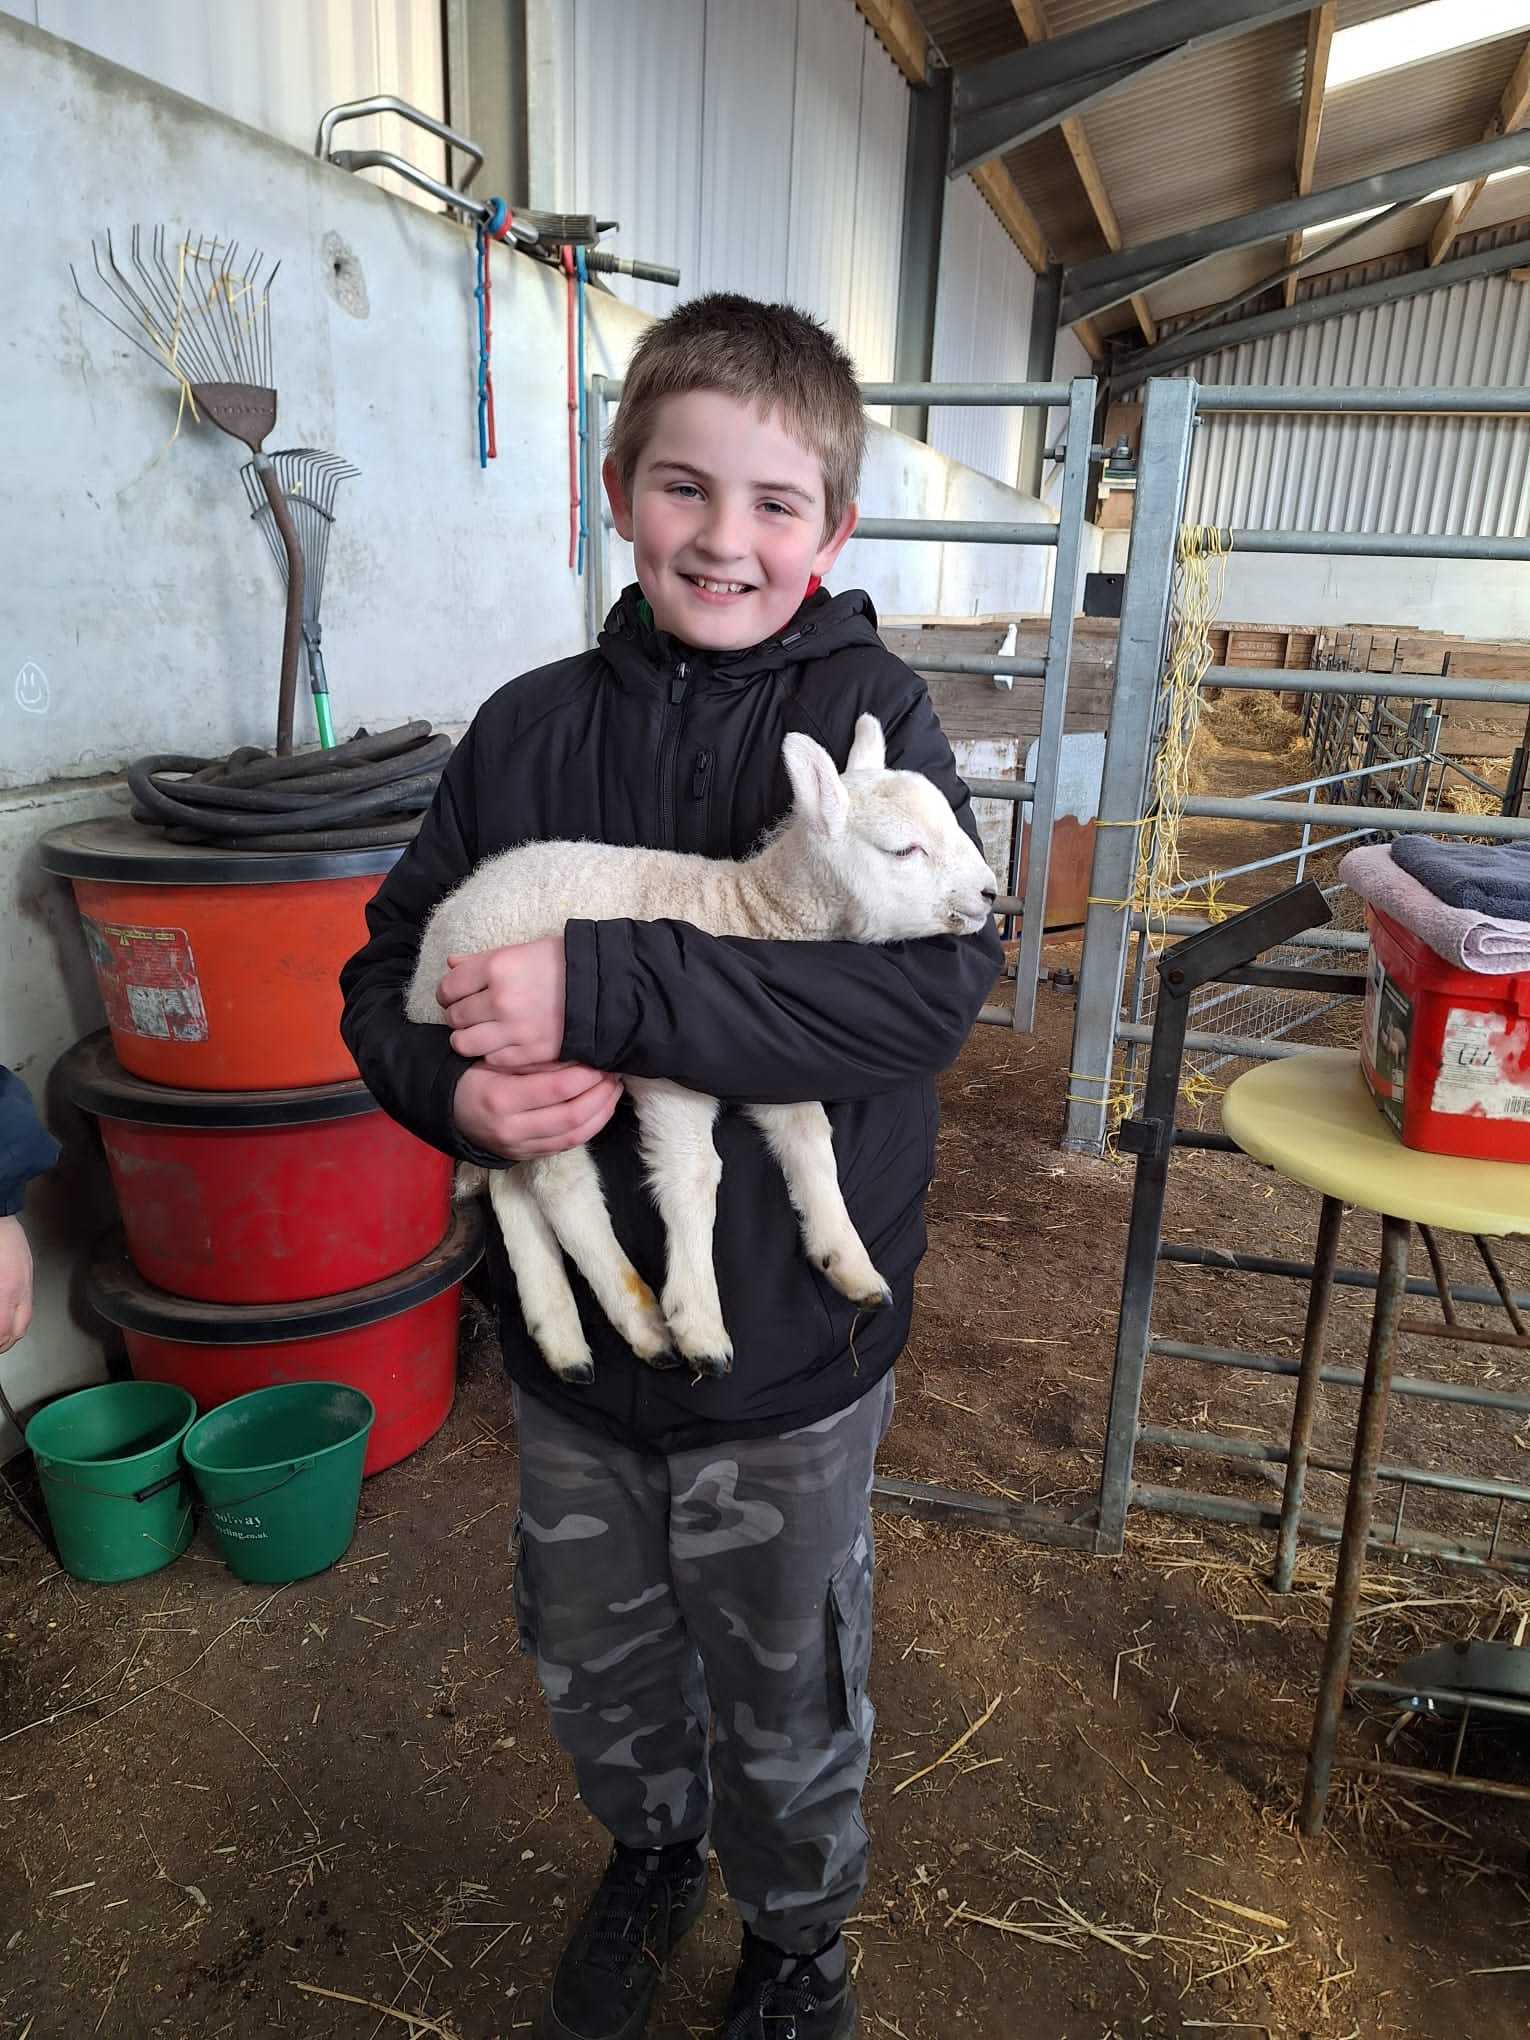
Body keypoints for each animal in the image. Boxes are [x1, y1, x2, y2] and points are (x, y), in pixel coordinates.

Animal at [408, 714, 999, 1387]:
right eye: (904, 850)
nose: (990, 893)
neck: (746, 914)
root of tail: (435, 942)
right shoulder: (669, 1076)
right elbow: (692, 1175)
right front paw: (699, 1324)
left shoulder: (770, 1054)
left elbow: (810, 1139)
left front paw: (848, 1261)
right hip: (530, 1064)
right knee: (560, 1184)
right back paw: (640, 1319)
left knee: (513, 1185)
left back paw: (559, 1334)